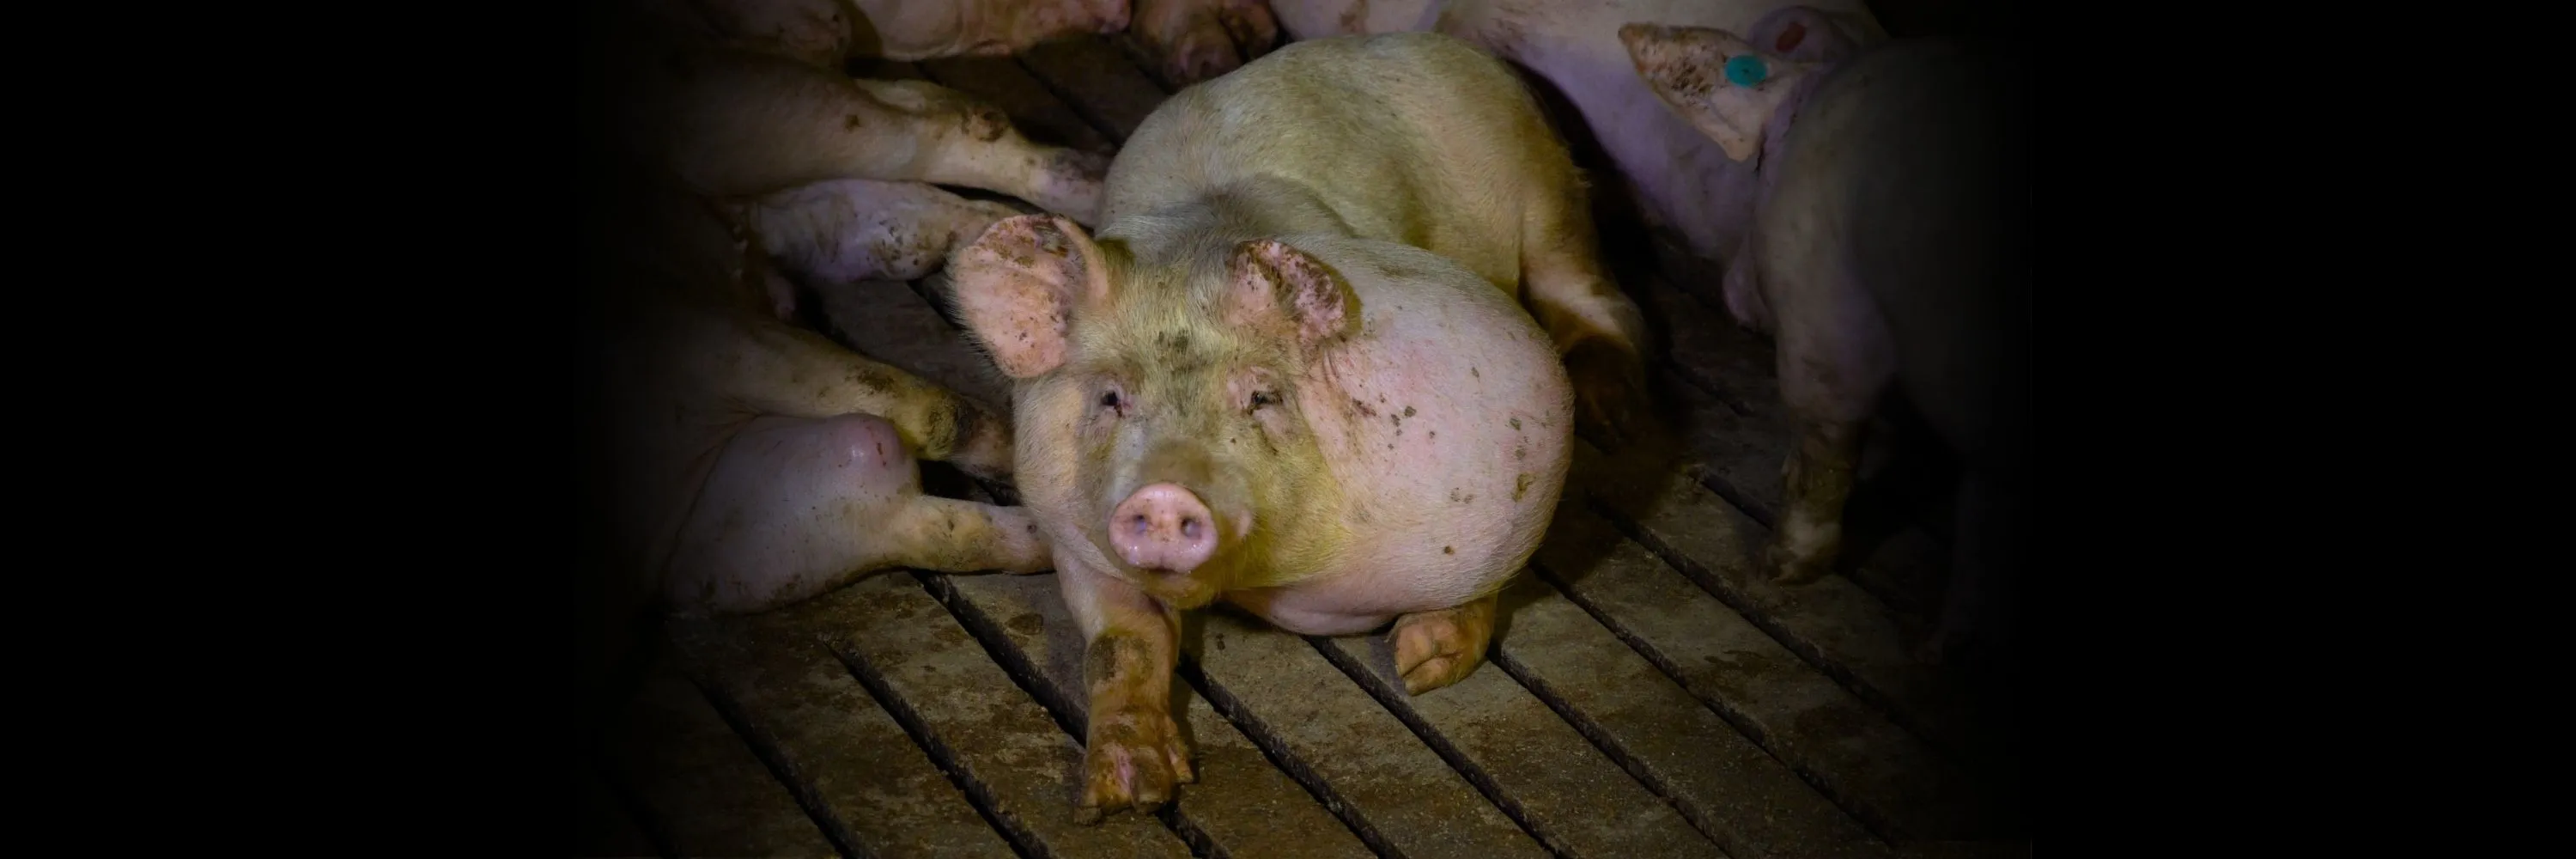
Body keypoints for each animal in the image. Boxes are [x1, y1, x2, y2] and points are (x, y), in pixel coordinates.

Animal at [944, 31, 1655, 823]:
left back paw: (1617, 416)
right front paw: (1126, 794)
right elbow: (1124, 642)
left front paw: (1419, 665)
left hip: (1545, 184)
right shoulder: (1075, 536)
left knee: (1593, 288)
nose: (1164, 494)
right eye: (1111, 398)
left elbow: (1485, 578)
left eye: (1261, 396)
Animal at [1620, 23, 2028, 665]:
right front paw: (1947, 655)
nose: (1736, 296)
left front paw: (1779, 569)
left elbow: (1826, 442)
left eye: (1760, 168)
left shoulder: (1822, 306)